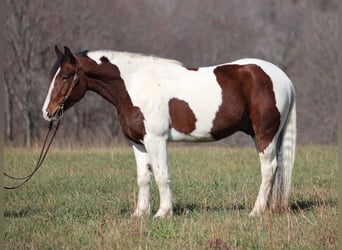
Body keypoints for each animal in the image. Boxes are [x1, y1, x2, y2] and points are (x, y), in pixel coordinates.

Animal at [41, 46, 296, 218]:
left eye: (65, 76)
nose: (47, 112)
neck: (135, 85)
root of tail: (282, 78)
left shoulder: (156, 140)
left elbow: (161, 175)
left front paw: (163, 213)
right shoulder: (138, 142)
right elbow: (144, 177)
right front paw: (140, 214)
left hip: (264, 135)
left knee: (269, 168)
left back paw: (256, 211)